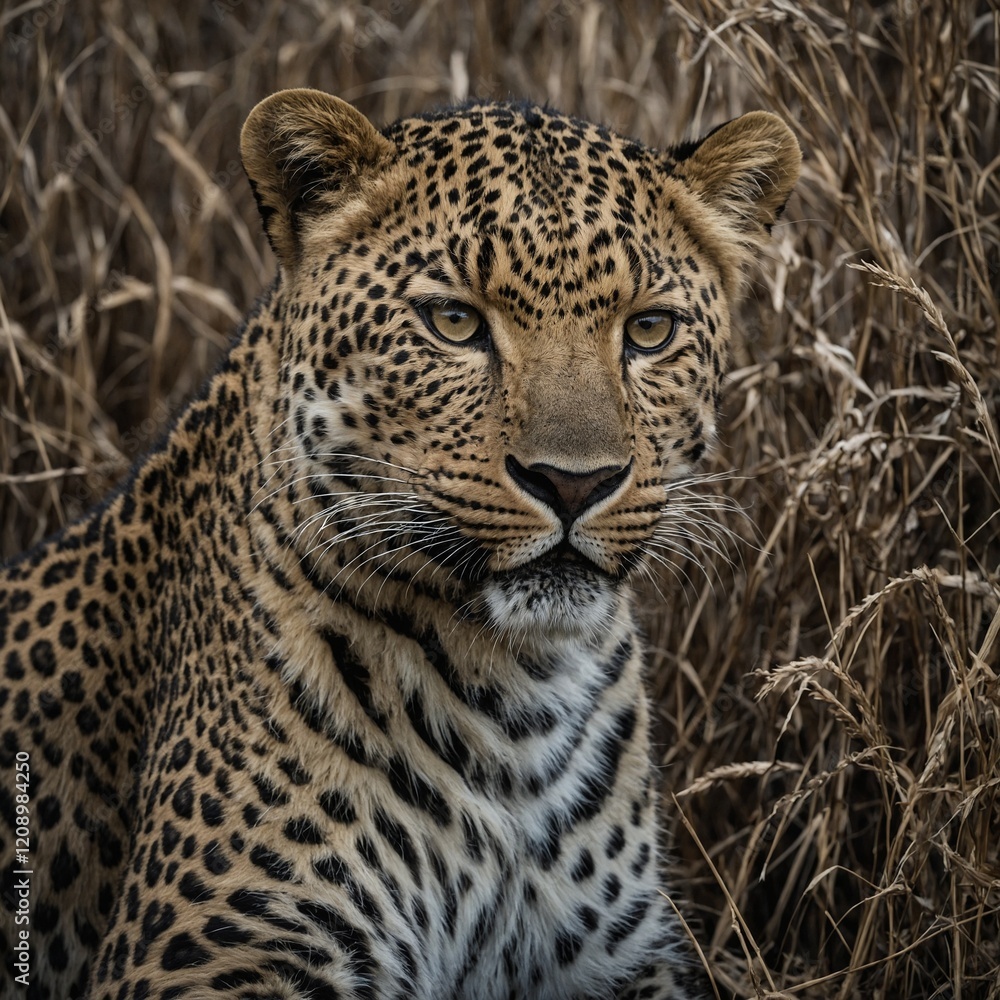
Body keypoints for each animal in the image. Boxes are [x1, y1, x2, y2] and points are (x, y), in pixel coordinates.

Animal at [0, 89, 800, 999]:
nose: (573, 484)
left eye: (651, 331)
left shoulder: (619, 959)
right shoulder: (210, 950)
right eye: (454, 321)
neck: (520, 698)